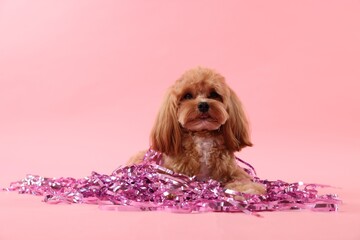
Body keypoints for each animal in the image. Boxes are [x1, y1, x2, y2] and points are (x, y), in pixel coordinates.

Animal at [128, 66, 266, 195]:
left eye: (214, 94)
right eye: (188, 96)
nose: (203, 105)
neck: (203, 136)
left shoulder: (234, 171)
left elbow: (243, 181)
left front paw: (248, 190)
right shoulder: (172, 172)